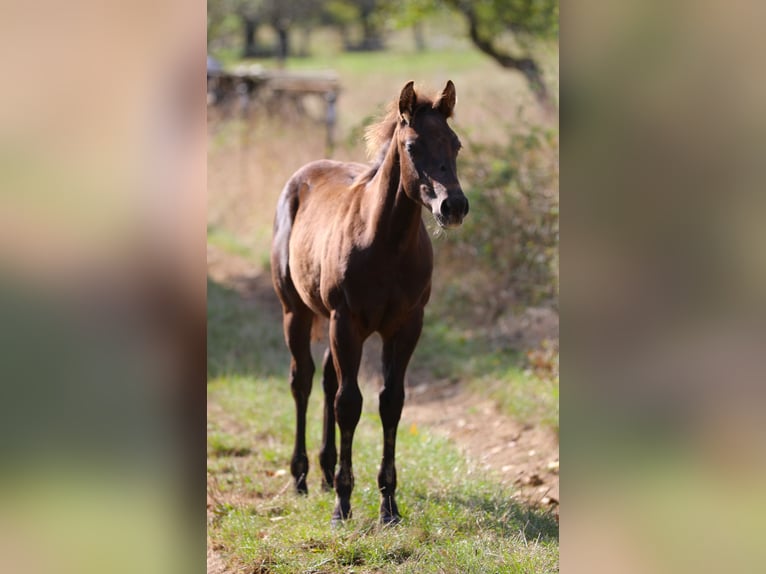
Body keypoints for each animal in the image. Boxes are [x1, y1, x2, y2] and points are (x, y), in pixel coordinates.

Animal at [272, 81, 472, 528]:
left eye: (455, 144)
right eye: (412, 146)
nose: (453, 206)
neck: (385, 244)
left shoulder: (405, 327)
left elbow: (390, 402)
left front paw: (388, 506)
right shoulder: (348, 323)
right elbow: (350, 404)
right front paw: (343, 505)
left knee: (328, 380)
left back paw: (325, 473)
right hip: (298, 313)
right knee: (303, 380)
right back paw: (301, 478)